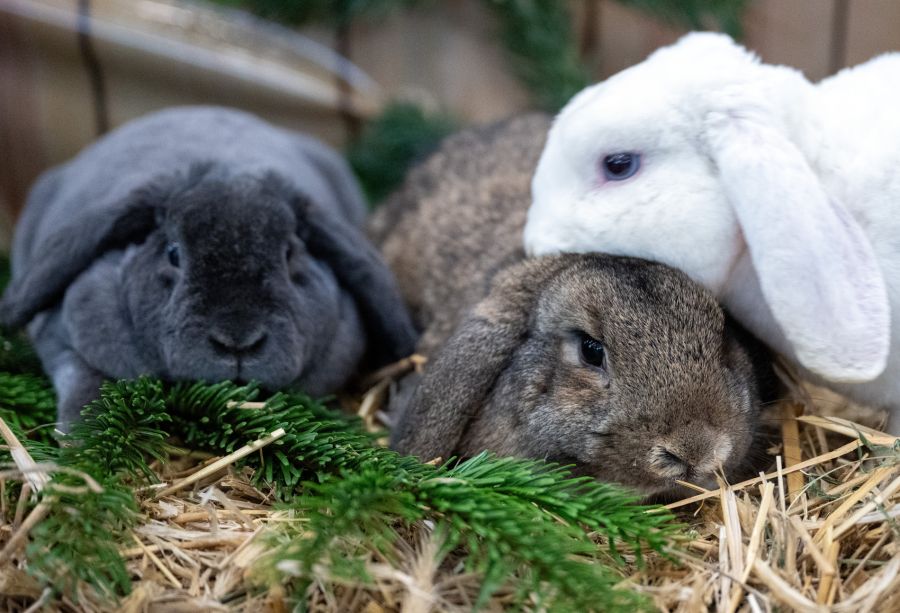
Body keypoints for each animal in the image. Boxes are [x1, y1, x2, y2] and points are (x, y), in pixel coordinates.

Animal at [0, 106, 417, 432]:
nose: (238, 342)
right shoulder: (65, 342)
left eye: (289, 255)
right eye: (173, 254)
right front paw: (78, 444)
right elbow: (86, 387)